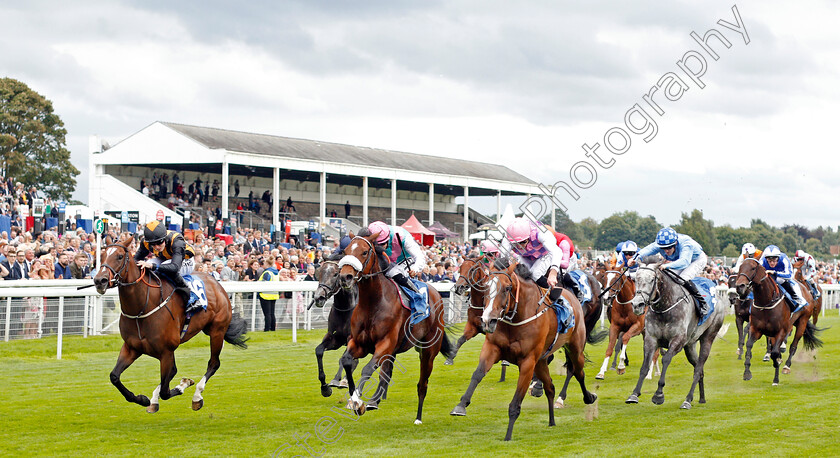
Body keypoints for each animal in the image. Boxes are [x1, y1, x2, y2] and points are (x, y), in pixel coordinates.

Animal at [94, 236, 249, 412]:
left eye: (120, 256)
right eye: (102, 255)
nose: (100, 280)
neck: (141, 308)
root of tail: (216, 283)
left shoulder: (166, 352)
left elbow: (166, 391)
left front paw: (182, 386)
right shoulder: (132, 347)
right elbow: (114, 376)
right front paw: (143, 399)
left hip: (217, 331)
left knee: (214, 363)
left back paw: (197, 396)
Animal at [310, 260, 360, 398]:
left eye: (335, 274)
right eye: (319, 273)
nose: (319, 297)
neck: (344, 308)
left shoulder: (352, 338)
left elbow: (344, 359)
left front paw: (344, 383)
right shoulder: (334, 338)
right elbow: (319, 351)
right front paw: (325, 387)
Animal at [336, 234, 456, 424]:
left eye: (364, 252)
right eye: (345, 251)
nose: (345, 277)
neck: (373, 303)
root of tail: (435, 292)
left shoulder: (385, 344)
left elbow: (367, 369)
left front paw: (358, 402)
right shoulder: (359, 344)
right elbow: (347, 361)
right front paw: (354, 399)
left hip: (428, 351)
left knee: (422, 384)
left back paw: (418, 418)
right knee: (386, 374)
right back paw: (374, 401)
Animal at [452, 262, 596, 440]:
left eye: (507, 288)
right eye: (485, 286)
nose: (487, 320)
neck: (516, 319)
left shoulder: (528, 362)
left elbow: (515, 403)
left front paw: (508, 436)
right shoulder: (492, 348)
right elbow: (477, 374)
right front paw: (461, 405)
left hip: (575, 348)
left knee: (578, 372)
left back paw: (588, 397)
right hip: (541, 361)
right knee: (550, 387)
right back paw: (551, 421)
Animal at [624, 262, 728, 410]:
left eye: (652, 280)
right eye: (636, 279)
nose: (637, 304)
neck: (664, 308)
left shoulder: (678, 340)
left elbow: (666, 359)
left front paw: (659, 394)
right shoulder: (651, 339)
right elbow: (645, 366)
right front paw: (634, 394)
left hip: (708, 337)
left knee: (698, 369)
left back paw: (687, 400)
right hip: (690, 346)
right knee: (699, 368)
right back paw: (701, 398)